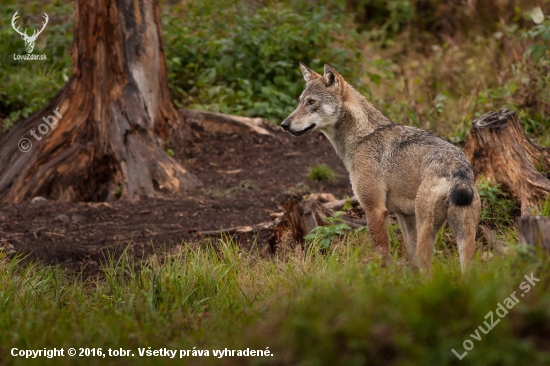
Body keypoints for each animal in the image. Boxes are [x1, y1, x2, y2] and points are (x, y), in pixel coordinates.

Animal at [282, 63, 480, 274]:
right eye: (300, 102)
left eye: (311, 102)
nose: (284, 124)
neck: (361, 138)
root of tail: (459, 169)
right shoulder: (404, 215)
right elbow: (411, 258)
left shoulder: (375, 209)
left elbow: (382, 256)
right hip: (464, 237)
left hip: (427, 227)